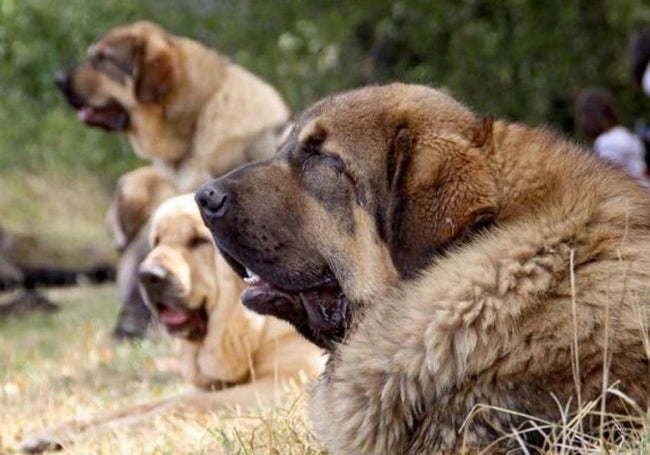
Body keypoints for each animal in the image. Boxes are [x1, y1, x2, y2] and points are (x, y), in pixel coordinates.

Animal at [20, 194, 324, 454]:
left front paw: (91, 436)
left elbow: (175, 404)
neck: (249, 330)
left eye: (197, 241)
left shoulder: (279, 382)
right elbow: (138, 406)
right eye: (156, 242)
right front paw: (53, 433)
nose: (147, 275)